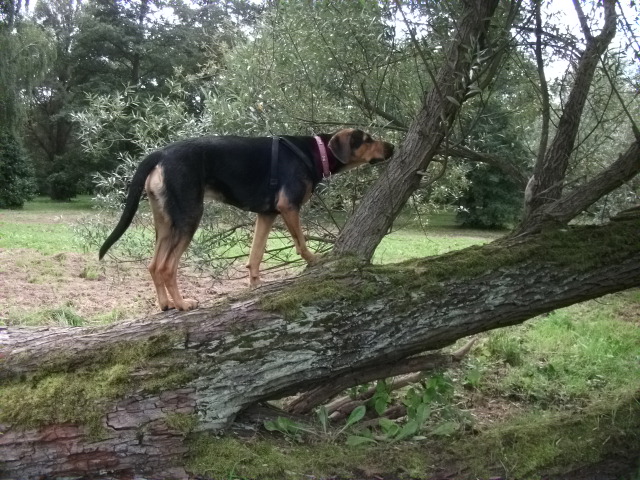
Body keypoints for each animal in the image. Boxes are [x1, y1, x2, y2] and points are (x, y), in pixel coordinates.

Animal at [99, 127, 392, 312]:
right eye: (367, 139)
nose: (392, 146)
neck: (315, 152)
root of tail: (160, 153)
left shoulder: (267, 214)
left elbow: (256, 254)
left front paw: (255, 286)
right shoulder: (288, 207)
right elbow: (301, 243)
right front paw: (315, 261)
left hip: (165, 221)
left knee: (153, 265)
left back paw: (165, 304)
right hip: (189, 216)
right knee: (166, 267)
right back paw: (182, 305)